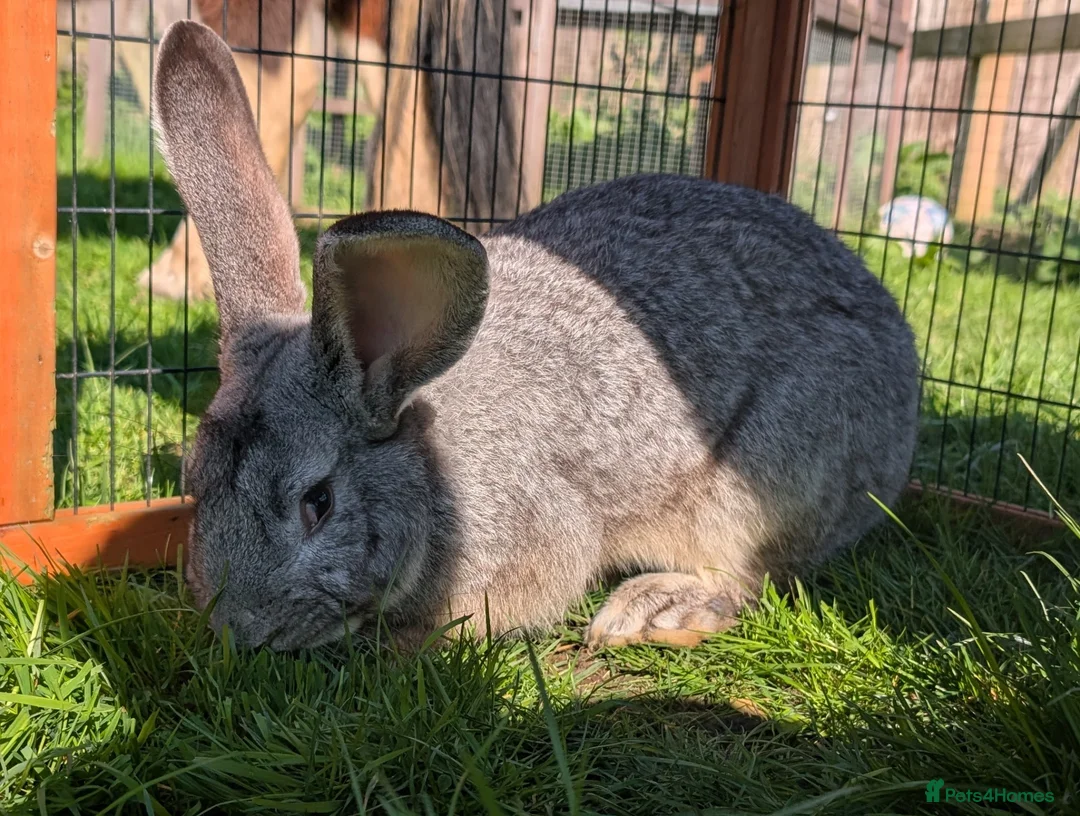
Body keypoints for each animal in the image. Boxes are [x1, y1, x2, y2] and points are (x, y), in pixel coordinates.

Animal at [153, 20, 921, 652]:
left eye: (319, 503)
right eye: (193, 484)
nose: (238, 629)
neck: (427, 462)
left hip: (759, 487)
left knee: (754, 577)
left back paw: (651, 611)